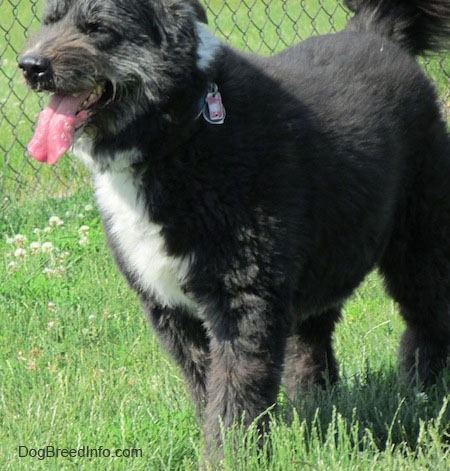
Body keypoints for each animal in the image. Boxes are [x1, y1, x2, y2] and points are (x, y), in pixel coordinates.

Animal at [19, 0, 450, 458]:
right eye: (49, 20)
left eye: (98, 27)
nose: (30, 66)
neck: (184, 130)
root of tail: (377, 31)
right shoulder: (172, 309)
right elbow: (207, 387)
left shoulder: (243, 298)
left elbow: (234, 394)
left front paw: (232, 456)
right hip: (330, 250)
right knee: (312, 334)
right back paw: (316, 400)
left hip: (418, 237)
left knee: (427, 313)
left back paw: (423, 389)